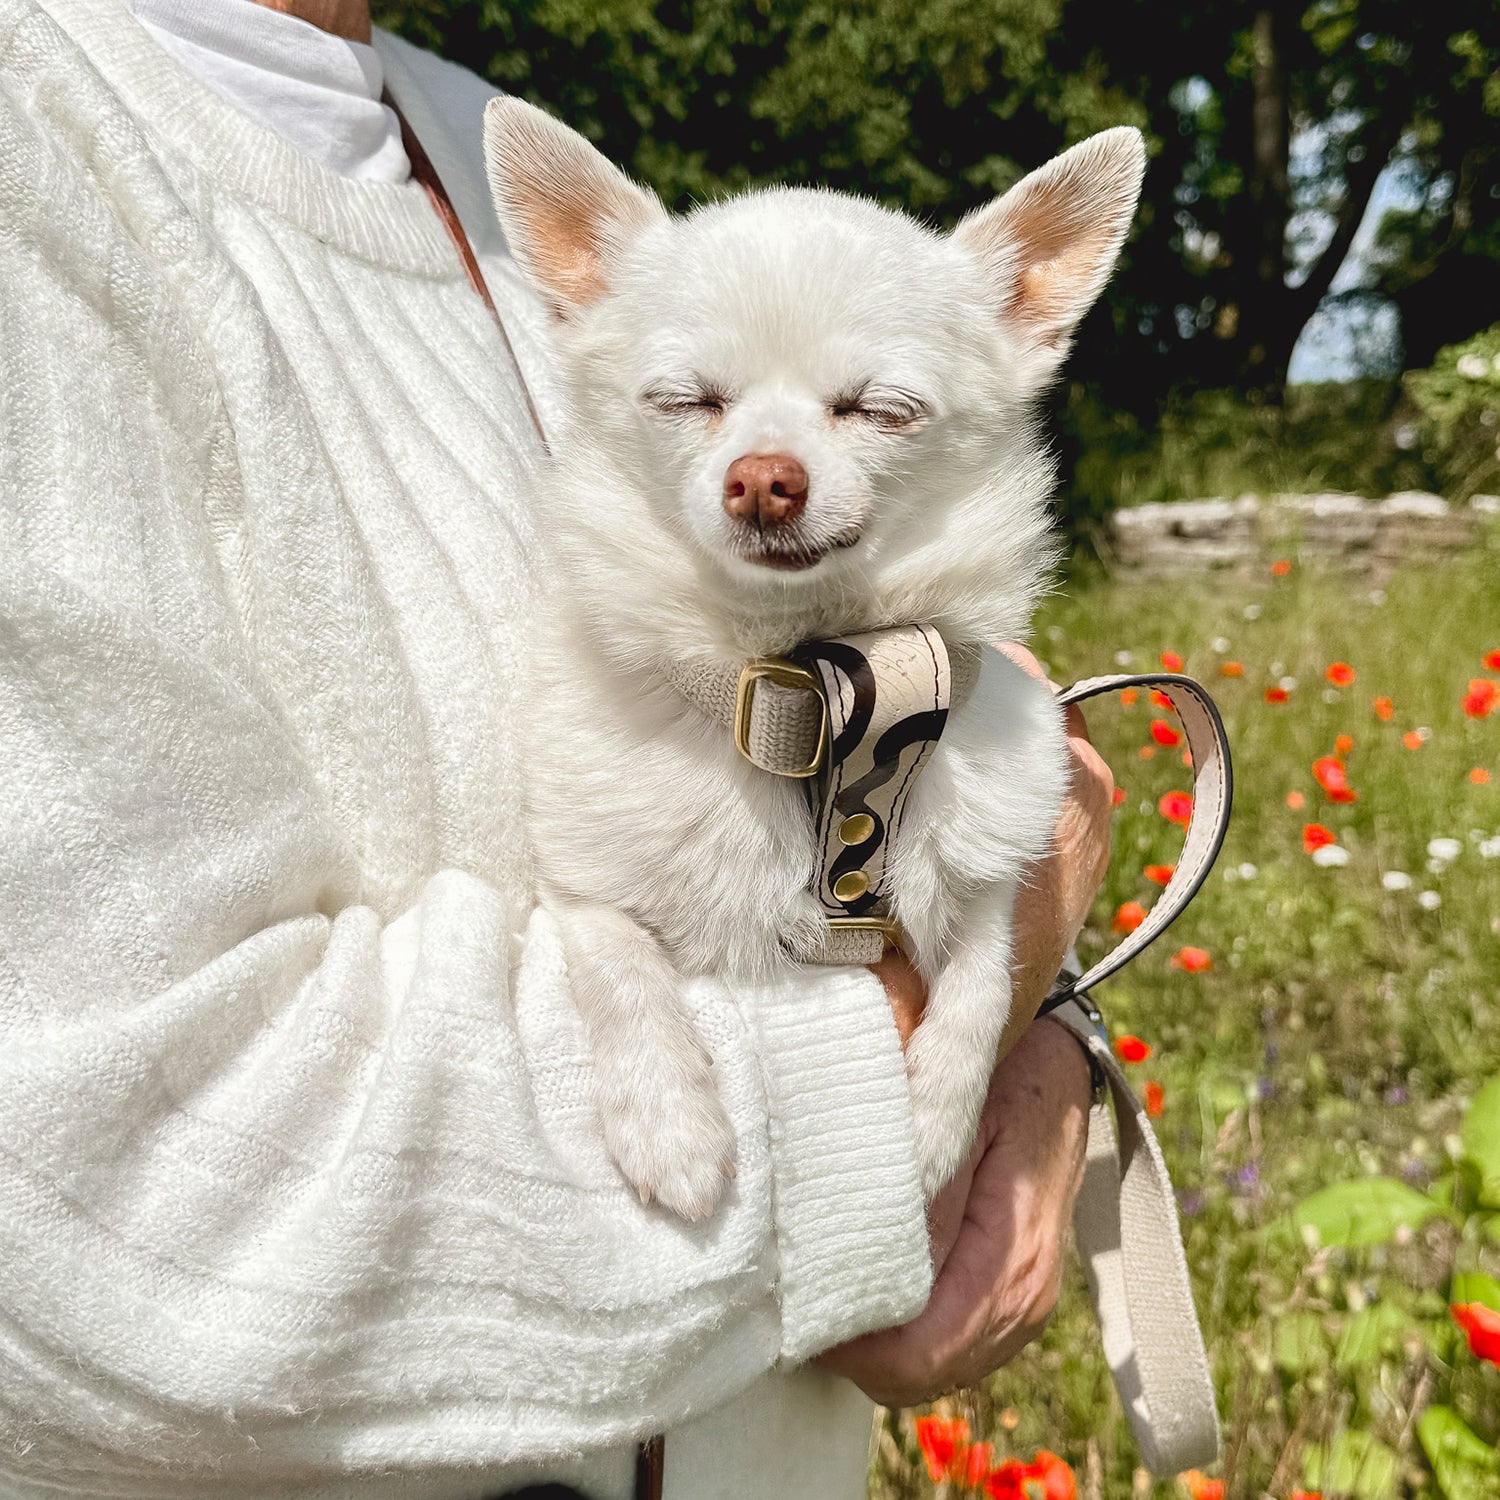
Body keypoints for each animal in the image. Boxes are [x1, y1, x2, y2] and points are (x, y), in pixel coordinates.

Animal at [486, 102, 1140, 1230]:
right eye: (686, 402)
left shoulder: (993, 874)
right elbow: (618, 961)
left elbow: (982, 982)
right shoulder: (580, 883)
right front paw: (669, 1120)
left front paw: (932, 1122)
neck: (821, 696)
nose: (763, 479)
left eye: (880, 409)